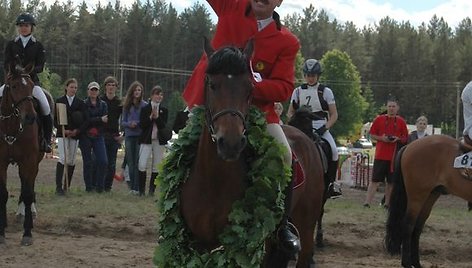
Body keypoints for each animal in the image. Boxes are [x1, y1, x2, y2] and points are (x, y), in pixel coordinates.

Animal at [179, 39, 326, 266]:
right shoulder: (199, 245)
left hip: (306, 224)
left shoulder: (247, 248)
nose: (230, 143)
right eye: (212, 85)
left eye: (249, 88)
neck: (214, 179)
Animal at [386, 135, 472, 266]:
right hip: (417, 197)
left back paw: (416, 263)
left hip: (430, 196)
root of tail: (409, 146)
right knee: (408, 225)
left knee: (417, 228)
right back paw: (407, 263)